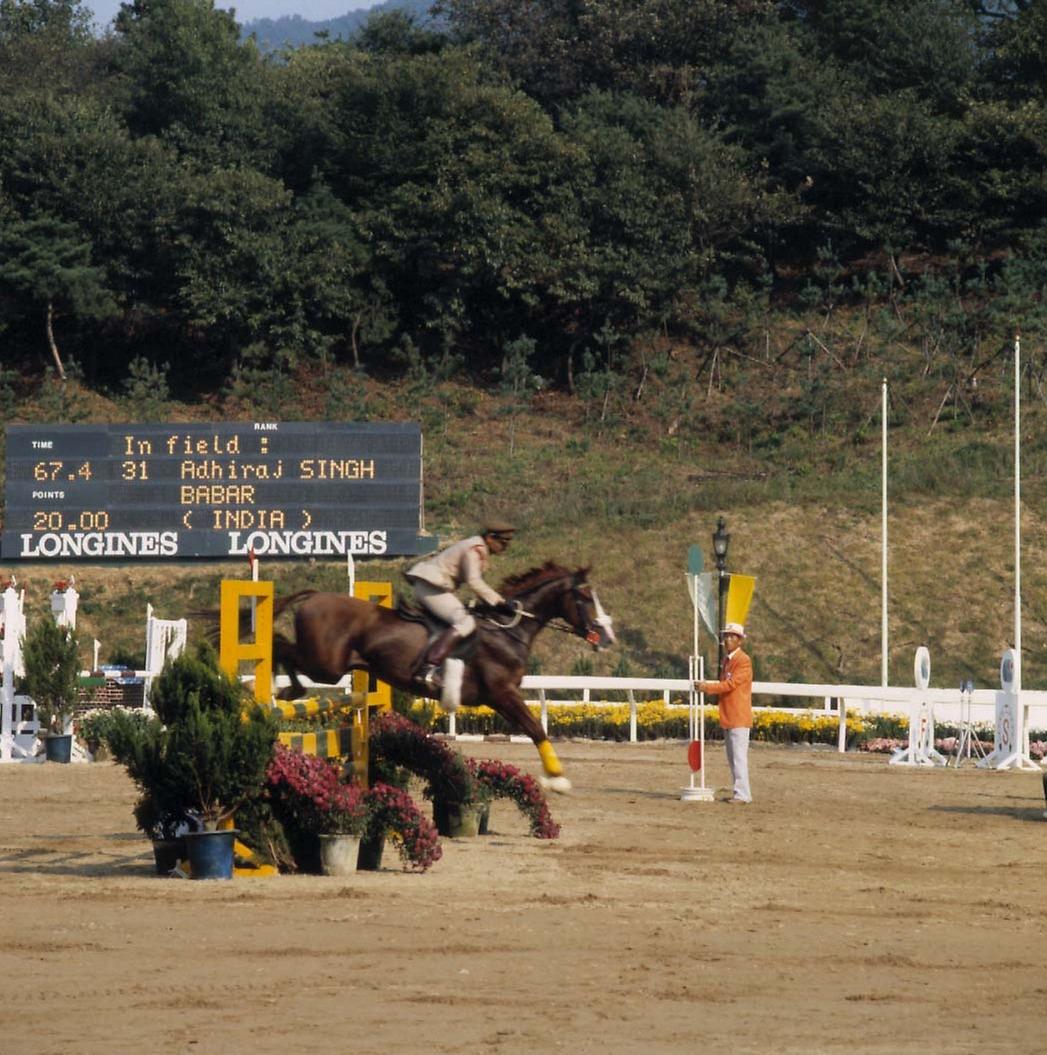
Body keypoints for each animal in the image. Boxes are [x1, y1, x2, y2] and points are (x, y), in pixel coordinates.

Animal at [272, 561, 612, 793]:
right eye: (585, 597)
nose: (606, 637)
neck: (508, 631)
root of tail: (315, 596)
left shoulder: (499, 699)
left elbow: (533, 729)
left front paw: (555, 776)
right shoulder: (503, 693)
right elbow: (537, 730)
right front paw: (557, 779)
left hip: (329, 666)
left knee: (284, 649)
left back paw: (286, 690)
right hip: (325, 665)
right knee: (280, 646)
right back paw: (281, 689)